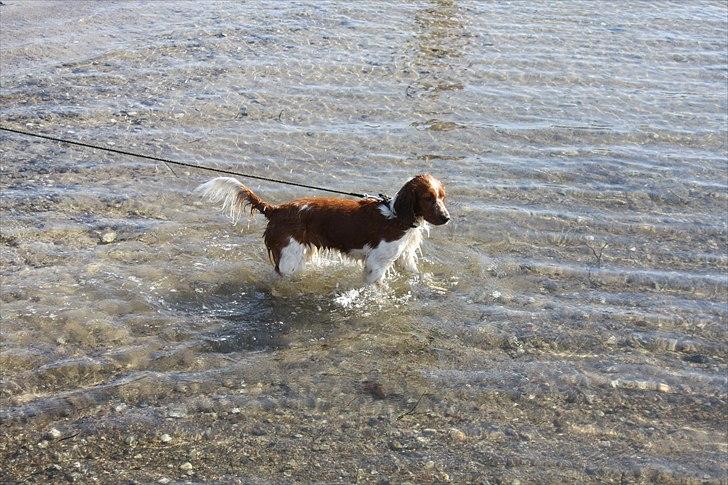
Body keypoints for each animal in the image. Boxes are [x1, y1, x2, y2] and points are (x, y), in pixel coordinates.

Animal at [196, 173, 452, 282]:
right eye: (428, 198)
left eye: (442, 197)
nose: (447, 218)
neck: (397, 216)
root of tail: (276, 209)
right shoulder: (376, 263)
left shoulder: (403, 257)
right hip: (289, 258)